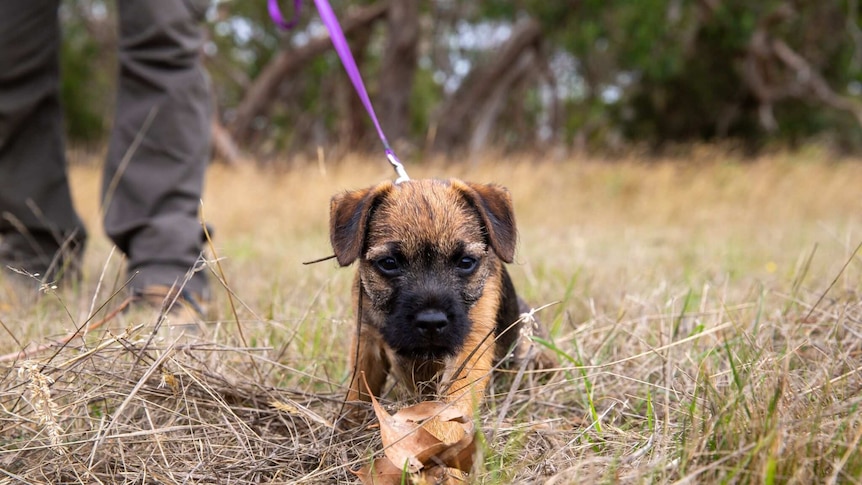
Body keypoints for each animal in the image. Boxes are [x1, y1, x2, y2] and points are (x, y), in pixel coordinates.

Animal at [330, 179, 548, 442]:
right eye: (389, 263)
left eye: (466, 262)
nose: (431, 321)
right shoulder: (366, 339)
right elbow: (358, 389)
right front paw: (345, 429)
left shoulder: (470, 346)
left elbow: (449, 409)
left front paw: (435, 447)